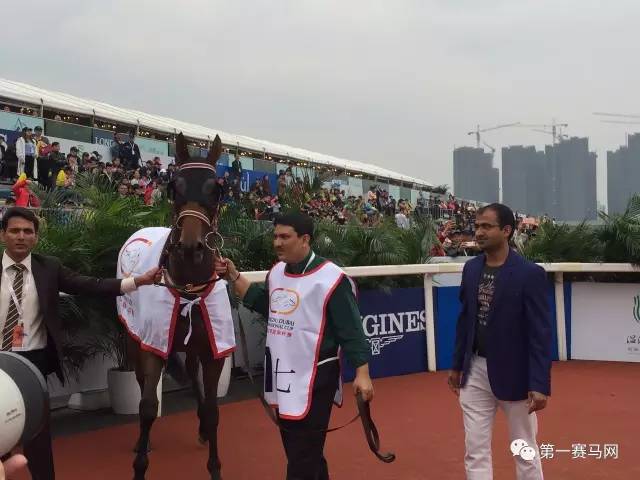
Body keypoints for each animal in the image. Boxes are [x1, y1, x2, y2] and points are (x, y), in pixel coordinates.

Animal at [116, 132, 233, 480]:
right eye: (174, 187)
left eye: (216, 189)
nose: (191, 247)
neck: (189, 289)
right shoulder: (152, 342)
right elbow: (146, 407)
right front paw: (140, 465)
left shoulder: (212, 347)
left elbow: (213, 408)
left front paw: (214, 464)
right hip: (133, 337)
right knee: (142, 382)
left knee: (193, 377)